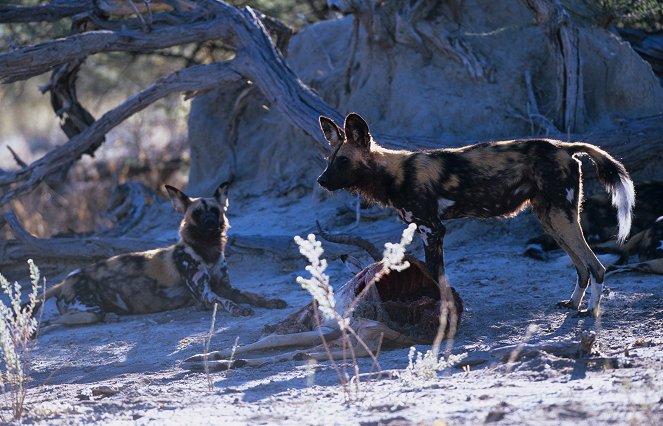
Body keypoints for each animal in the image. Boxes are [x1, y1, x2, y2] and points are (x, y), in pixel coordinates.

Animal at [34, 181, 286, 328]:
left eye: (215, 211)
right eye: (197, 213)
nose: (210, 223)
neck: (207, 250)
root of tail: (65, 280)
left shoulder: (226, 286)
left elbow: (252, 295)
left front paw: (270, 301)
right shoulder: (206, 295)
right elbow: (227, 302)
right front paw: (240, 309)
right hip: (90, 308)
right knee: (56, 321)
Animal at [184, 255, 464, 372]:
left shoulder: (328, 326)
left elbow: (275, 340)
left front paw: (204, 356)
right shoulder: (333, 327)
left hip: (356, 332)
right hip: (360, 333)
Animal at [320, 113, 636, 316]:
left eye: (343, 161)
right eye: (329, 160)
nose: (321, 181)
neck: (393, 174)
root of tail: (564, 146)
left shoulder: (432, 230)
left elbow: (435, 276)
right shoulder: (429, 231)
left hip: (561, 216)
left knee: (596, 266)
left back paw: (591, 312)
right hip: (551, 219)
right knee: (582, 267)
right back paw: (573, 305)